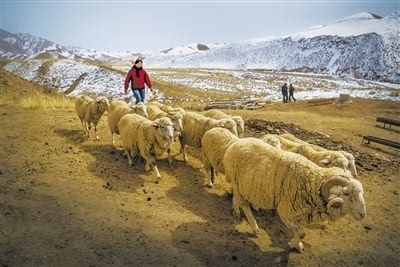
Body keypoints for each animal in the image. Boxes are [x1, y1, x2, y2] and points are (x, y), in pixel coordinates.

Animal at [223, 138, 368, 253]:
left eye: (361, 193)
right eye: (347, 193)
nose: (363, 215)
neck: (312, 183)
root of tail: (237, 142)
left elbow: (300, 232)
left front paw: (297, 245)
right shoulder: (285, 212)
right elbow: (302, 233)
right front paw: (293, 244)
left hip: (246, 184)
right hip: (237, 183)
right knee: (243, 203)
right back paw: (251, 223)